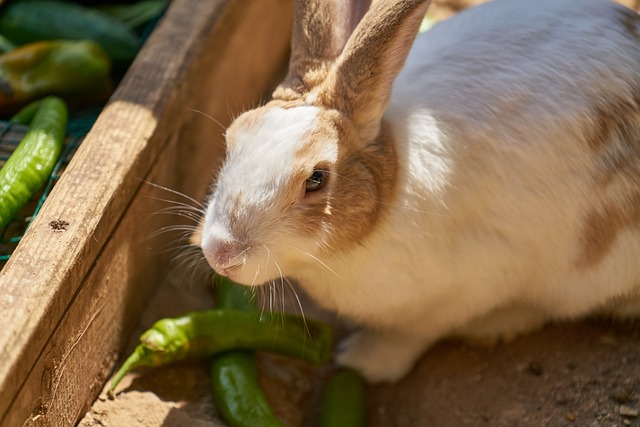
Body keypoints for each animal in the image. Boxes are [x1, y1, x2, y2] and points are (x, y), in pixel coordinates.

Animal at [198, 0, 640, 384]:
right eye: (233, 135)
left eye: (317, 179)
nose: (220, 254)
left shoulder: (466, 287)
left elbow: (411, 335)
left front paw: (360, 360)